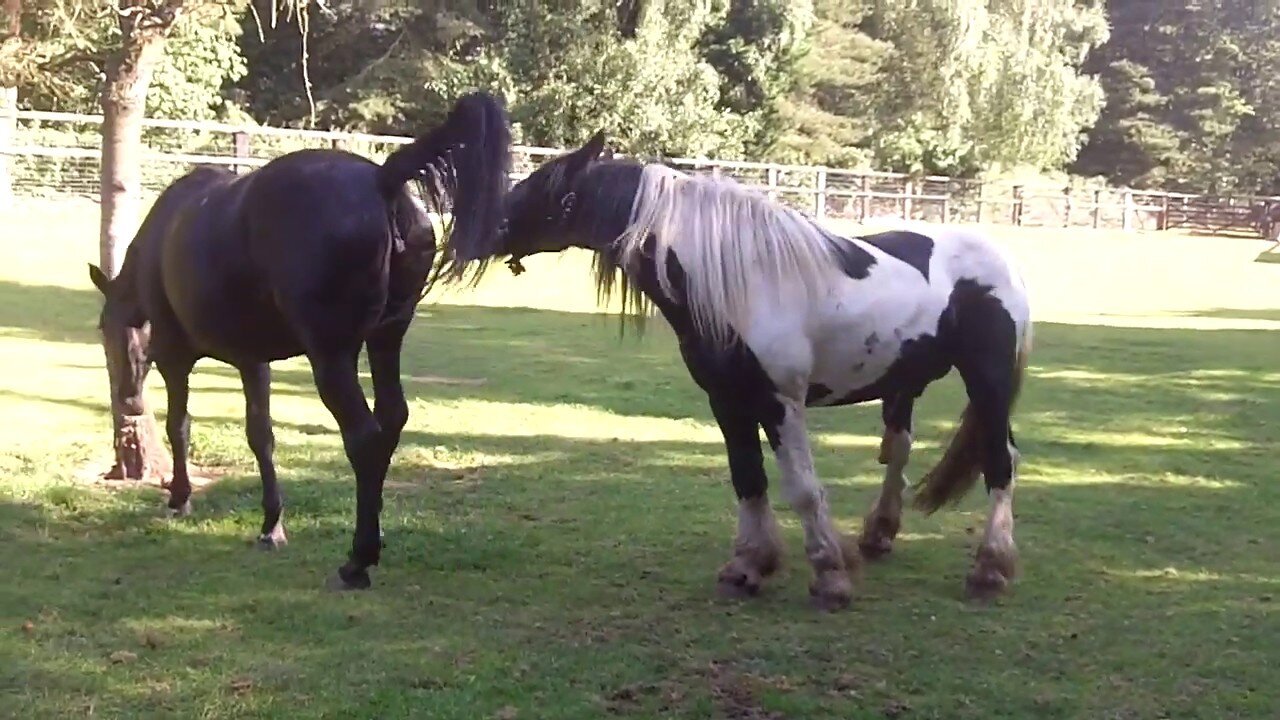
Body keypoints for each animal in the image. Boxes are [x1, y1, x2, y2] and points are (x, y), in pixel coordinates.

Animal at [494, 133, 1034, 604]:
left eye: (545, 185)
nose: (487, 223)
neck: (740, 285)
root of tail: (1001, 262)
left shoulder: (780, 404)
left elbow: (803, 490)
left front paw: (830, 576)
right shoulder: (727, 402)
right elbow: (748, 479)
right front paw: (748, 566)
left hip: (987, 381)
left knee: (1001, 461)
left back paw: (990, 568)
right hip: (902, 385)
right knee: (898, 452)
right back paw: (879, 534)